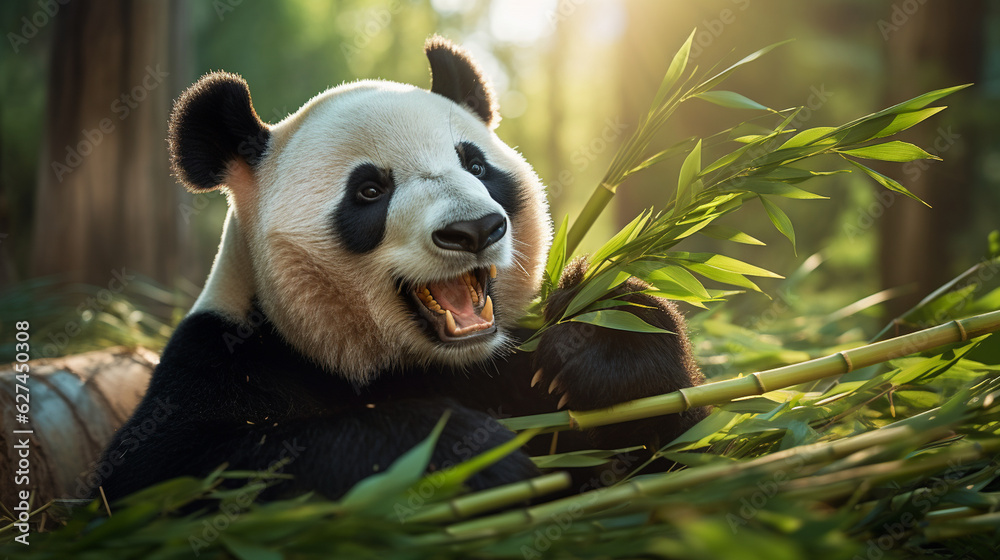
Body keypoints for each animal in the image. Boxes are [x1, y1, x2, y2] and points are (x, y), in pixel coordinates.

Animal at [94, 37, 707, 502]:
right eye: (370, 190)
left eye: (476, 165)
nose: (475, 230)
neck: (420, 363)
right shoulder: (223, 360)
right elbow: (186, 467)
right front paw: (467, 454)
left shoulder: (508, 365)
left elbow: (672, 452)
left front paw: (599, 343)